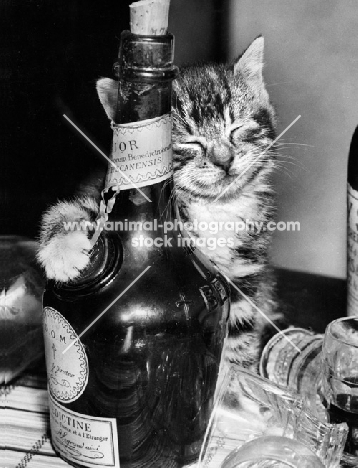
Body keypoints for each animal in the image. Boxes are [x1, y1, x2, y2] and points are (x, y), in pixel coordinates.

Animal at [37, 35, 282, 366]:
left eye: (238, 128)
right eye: (189, 142)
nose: (225, 160)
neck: (214, 207)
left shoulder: (246, 271)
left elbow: (238, 335)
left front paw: (233, 376)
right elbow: (75, 212)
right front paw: (62, 252)